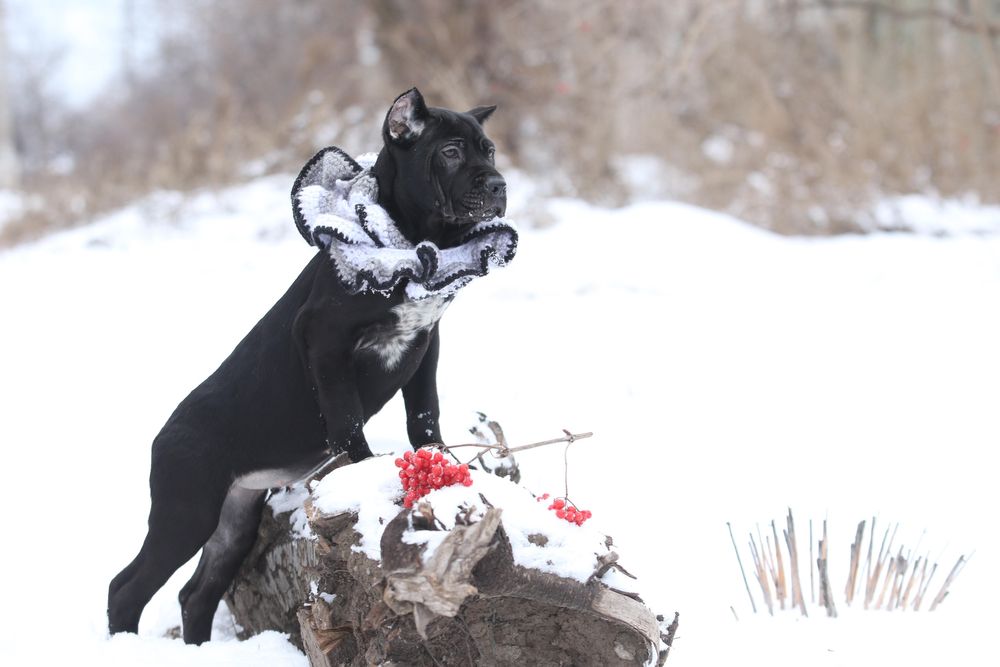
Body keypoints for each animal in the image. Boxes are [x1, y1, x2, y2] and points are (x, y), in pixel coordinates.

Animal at [108, 90, 512, 648]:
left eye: (489, 150)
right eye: (450, 152)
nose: (498, 184)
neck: (409, 243)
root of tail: (162, 437)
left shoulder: (424, 346)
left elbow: (424, 415)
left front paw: (442, 460)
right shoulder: (325, 343)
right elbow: (346, 421)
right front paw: (367, 470)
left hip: (234, 518)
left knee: (196, 592)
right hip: (187, 510)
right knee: (126, 587)